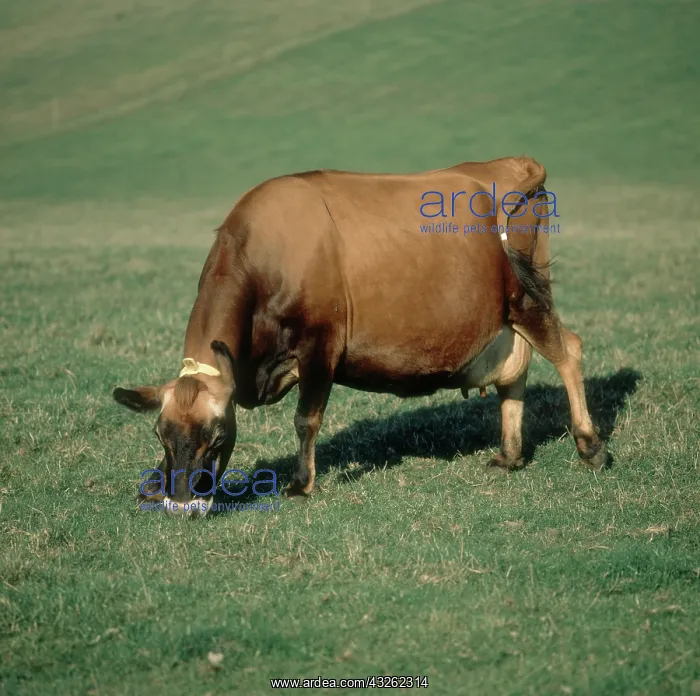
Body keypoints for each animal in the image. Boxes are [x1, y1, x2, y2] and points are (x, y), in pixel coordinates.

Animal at [113, 156, 608, 516]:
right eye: (161, 435)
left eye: (217, 438)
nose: (182, 505)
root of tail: (511, 164)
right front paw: (153, 487)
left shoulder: (321, 345)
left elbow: (306, 419)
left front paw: (300, 484)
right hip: (508, 315)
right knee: (514, 375)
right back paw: (509, 455)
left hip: (528, 297)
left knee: (568, 351)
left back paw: (590, 446)